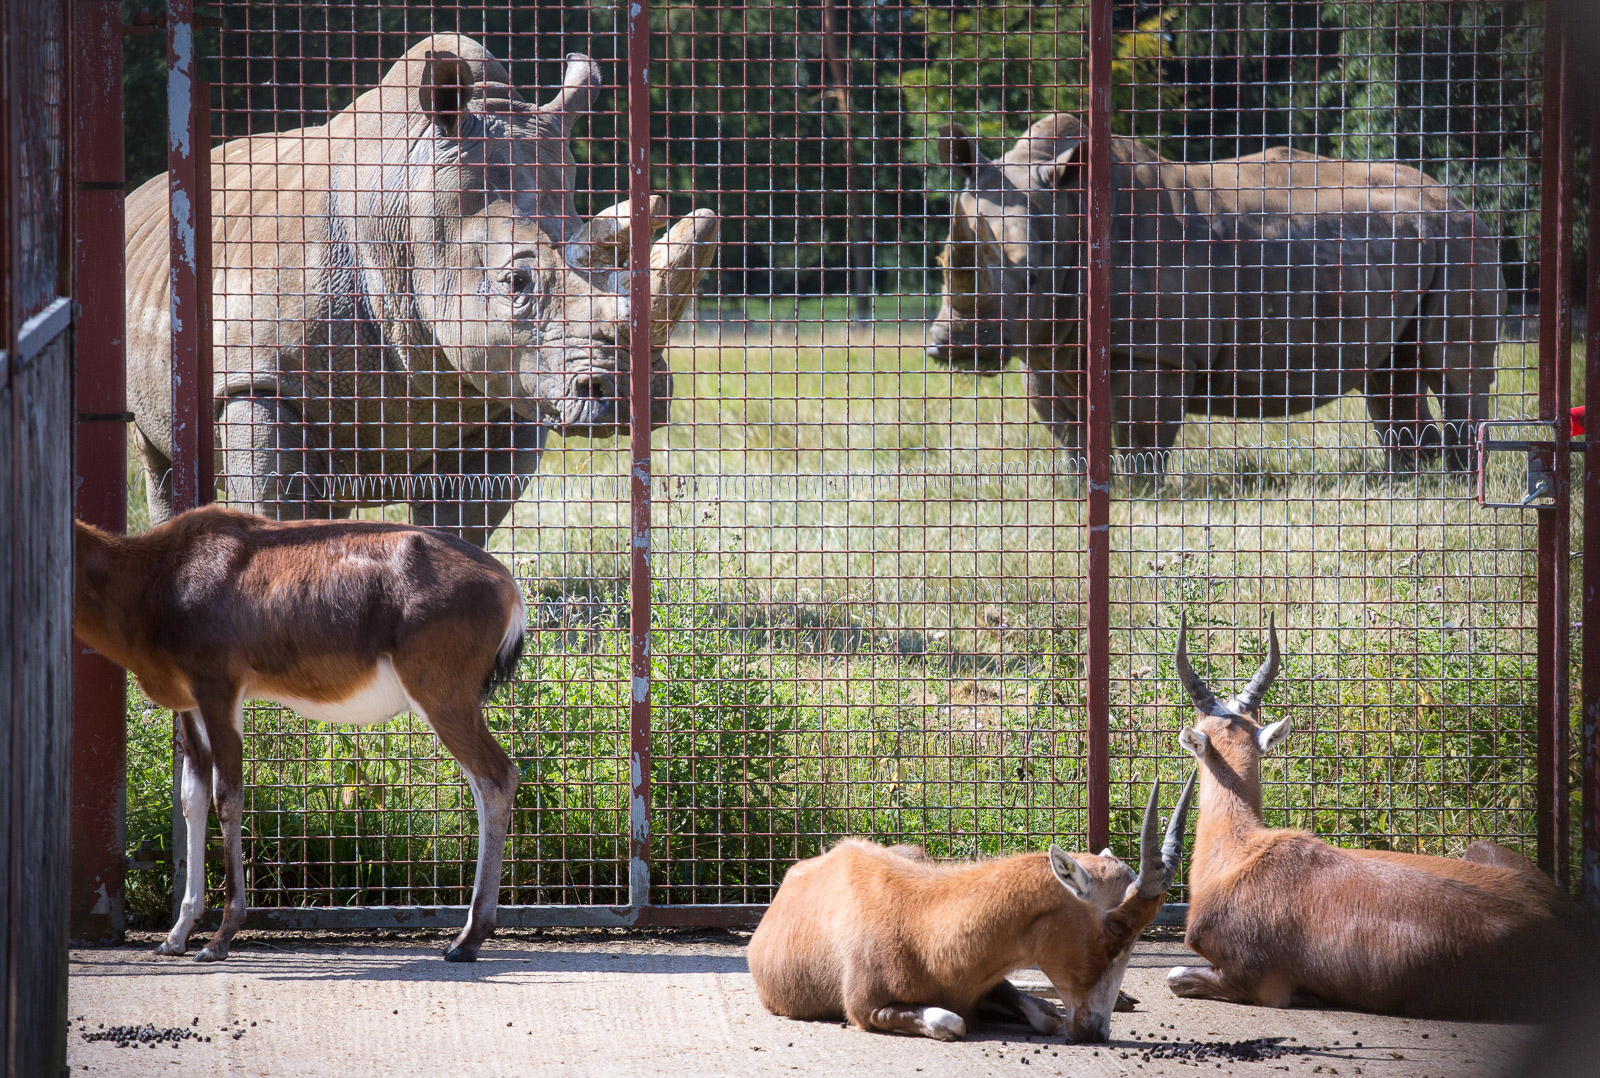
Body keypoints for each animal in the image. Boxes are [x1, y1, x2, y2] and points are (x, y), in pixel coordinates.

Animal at [126, 35, 718, 545]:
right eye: (515, 281)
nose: (632, 396)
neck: (404, 205)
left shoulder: (506, 388)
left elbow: (462, 524)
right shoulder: (261, 378)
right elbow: (275, 508)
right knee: (160, 463)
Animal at [926, 115, 1503, 470]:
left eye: (1031, 278)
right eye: (941, 263)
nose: (951, 348)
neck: (1070, 212)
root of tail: (1458, 199)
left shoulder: (1155, 351)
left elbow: (1139, 440)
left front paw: (1137, 504)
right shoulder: (1049, 344)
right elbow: (1071, 439)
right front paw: (1079, 498)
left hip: (1461, 240)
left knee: (1451, 365)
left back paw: (1457, 486)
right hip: (1404, 240)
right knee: (1389, 369)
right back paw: (1408, 486)